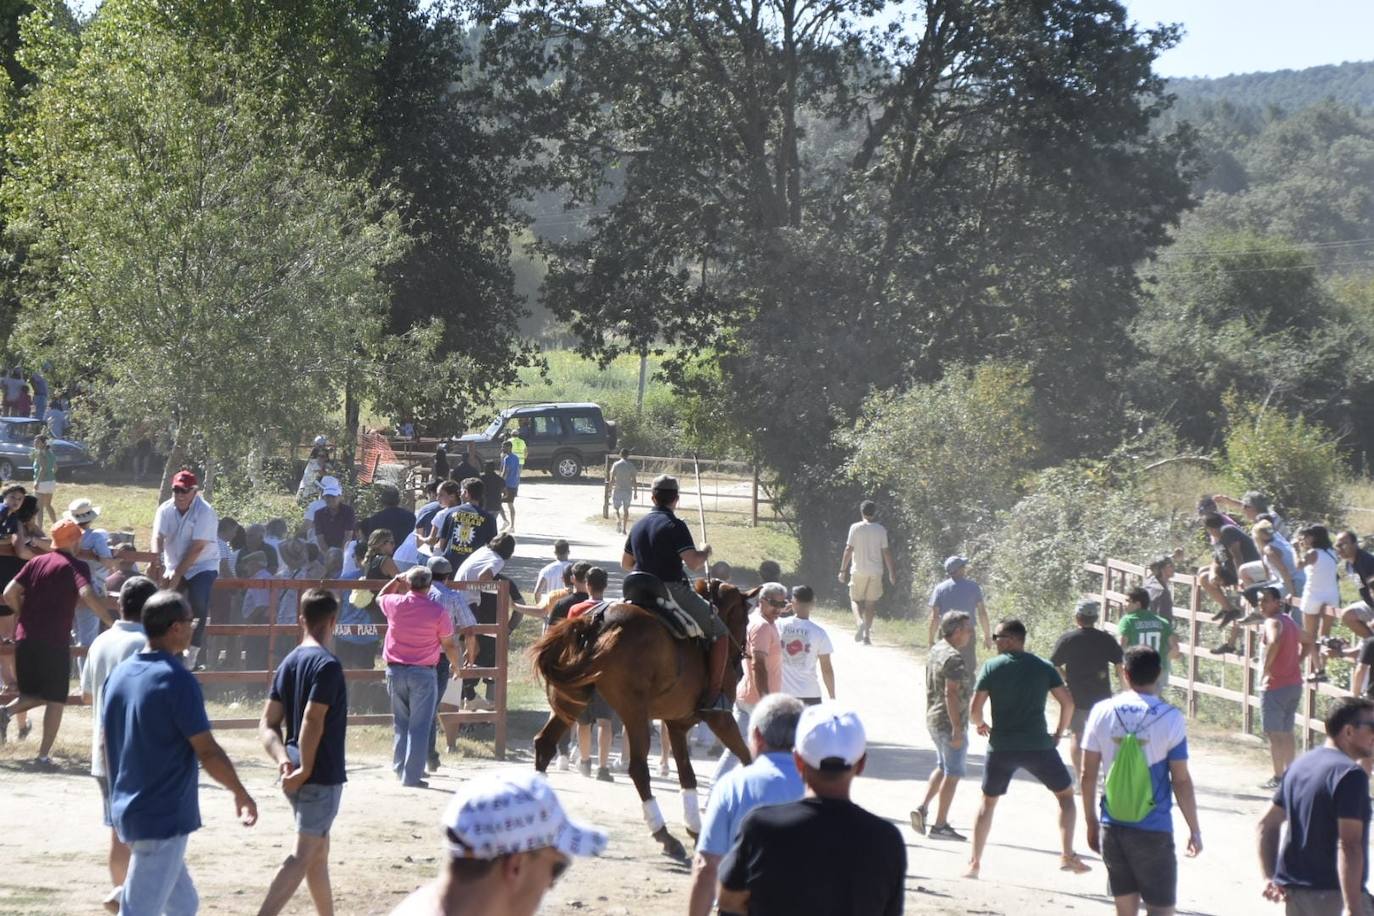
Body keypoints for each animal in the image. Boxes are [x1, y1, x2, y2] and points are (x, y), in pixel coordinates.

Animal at [530, 579, 758, 862]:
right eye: (745, 618)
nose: (740, 664)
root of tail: (597, 621)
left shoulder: (677, 724)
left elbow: (688, 776)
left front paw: (695, 829)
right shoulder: (720, 718)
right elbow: (746, 757)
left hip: (572, 703)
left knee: (545, 743)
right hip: (634, 713)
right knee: (638, 768)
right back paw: (665, 836)